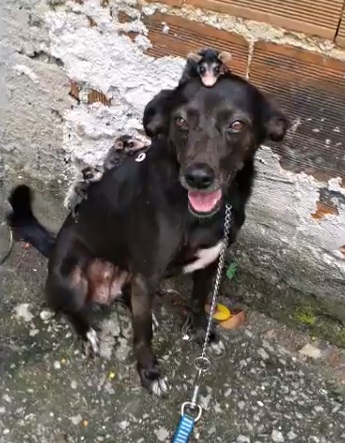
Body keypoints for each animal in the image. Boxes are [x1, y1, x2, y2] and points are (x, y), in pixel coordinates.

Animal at [8, 71, 288, 398]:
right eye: (180, 121)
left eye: (237, 125)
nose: (198, 177)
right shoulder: (147, 274)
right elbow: (143, 336)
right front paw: (149, 373)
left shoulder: (210, 261)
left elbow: (198, 301)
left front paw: (199, 333)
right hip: (71, 277)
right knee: (66, 307)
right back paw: (87, 332)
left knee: (126, 295)